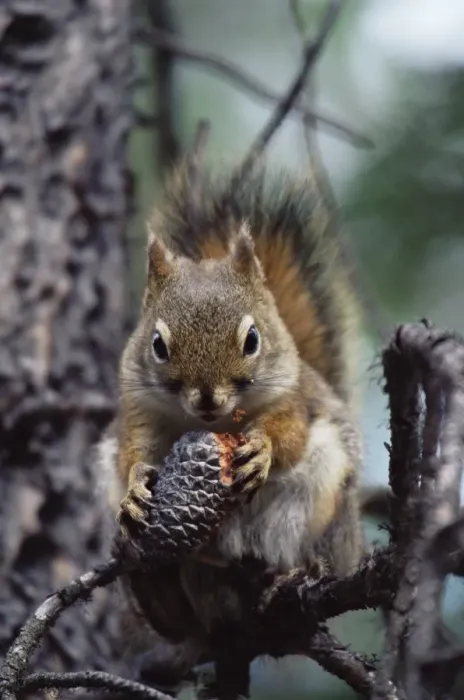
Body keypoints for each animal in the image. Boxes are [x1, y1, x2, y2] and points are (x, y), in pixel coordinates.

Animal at [96, 163, 364, 684]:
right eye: (157, 344)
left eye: (252, 339)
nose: (207, 398)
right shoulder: (138, 411)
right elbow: (133, 454)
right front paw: (136, 488)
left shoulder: (294, 401)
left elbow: (290, 436)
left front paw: (261, 449)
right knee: (185, 615)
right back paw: (155, 586)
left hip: (321, 506)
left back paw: (294, 574)